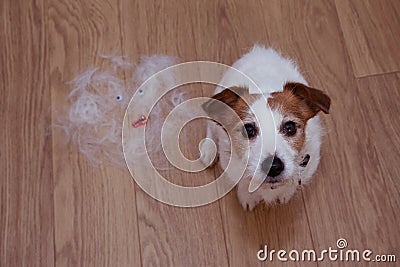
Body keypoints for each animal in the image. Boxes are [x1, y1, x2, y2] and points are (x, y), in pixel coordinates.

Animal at [200, 46, 332, 211]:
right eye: (248, 130)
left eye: (290, 127)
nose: (273, 166)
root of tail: (260, 51)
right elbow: (243, 183)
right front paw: (247, 196)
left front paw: (286, 193)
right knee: (210, 125)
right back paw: (209, 149)